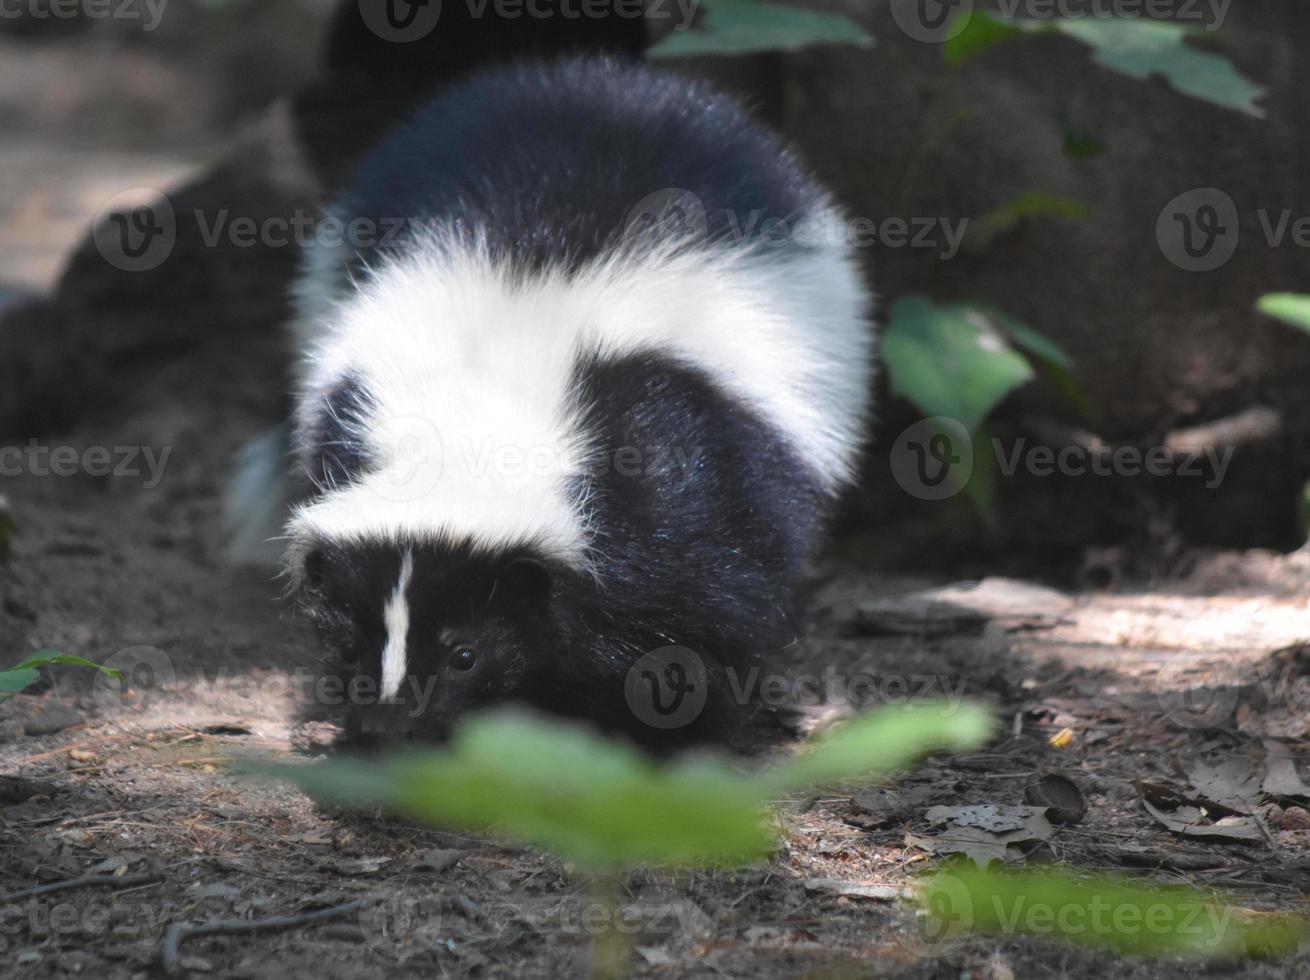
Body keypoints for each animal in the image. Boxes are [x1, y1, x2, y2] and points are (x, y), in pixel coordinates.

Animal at [246, 57, 880, 744]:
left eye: (465, 653)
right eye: (350, 647)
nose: (390, 724)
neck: (483, 408)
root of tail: (596, 82)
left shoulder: (682, 476)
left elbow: (700, 619)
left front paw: (668, 731)